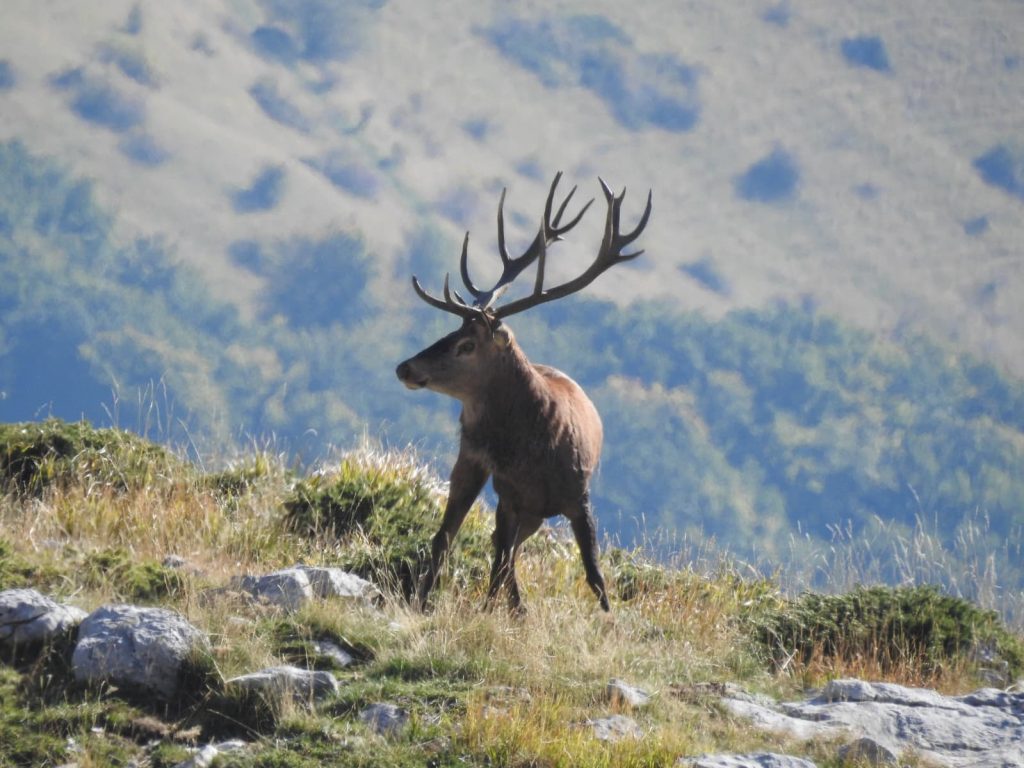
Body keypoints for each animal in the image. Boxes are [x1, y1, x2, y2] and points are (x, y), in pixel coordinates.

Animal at [395, 172, 651, 613]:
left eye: (467, 344)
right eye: (451, 332)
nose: (405, 368)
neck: (538, 452)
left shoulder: (579, 496)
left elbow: (595, 574)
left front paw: (608, 616)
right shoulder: (510, 493)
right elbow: (501, 560)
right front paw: (501, 610)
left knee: (496, 549)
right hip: (475, 465)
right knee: (458, 539)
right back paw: (437, 600)